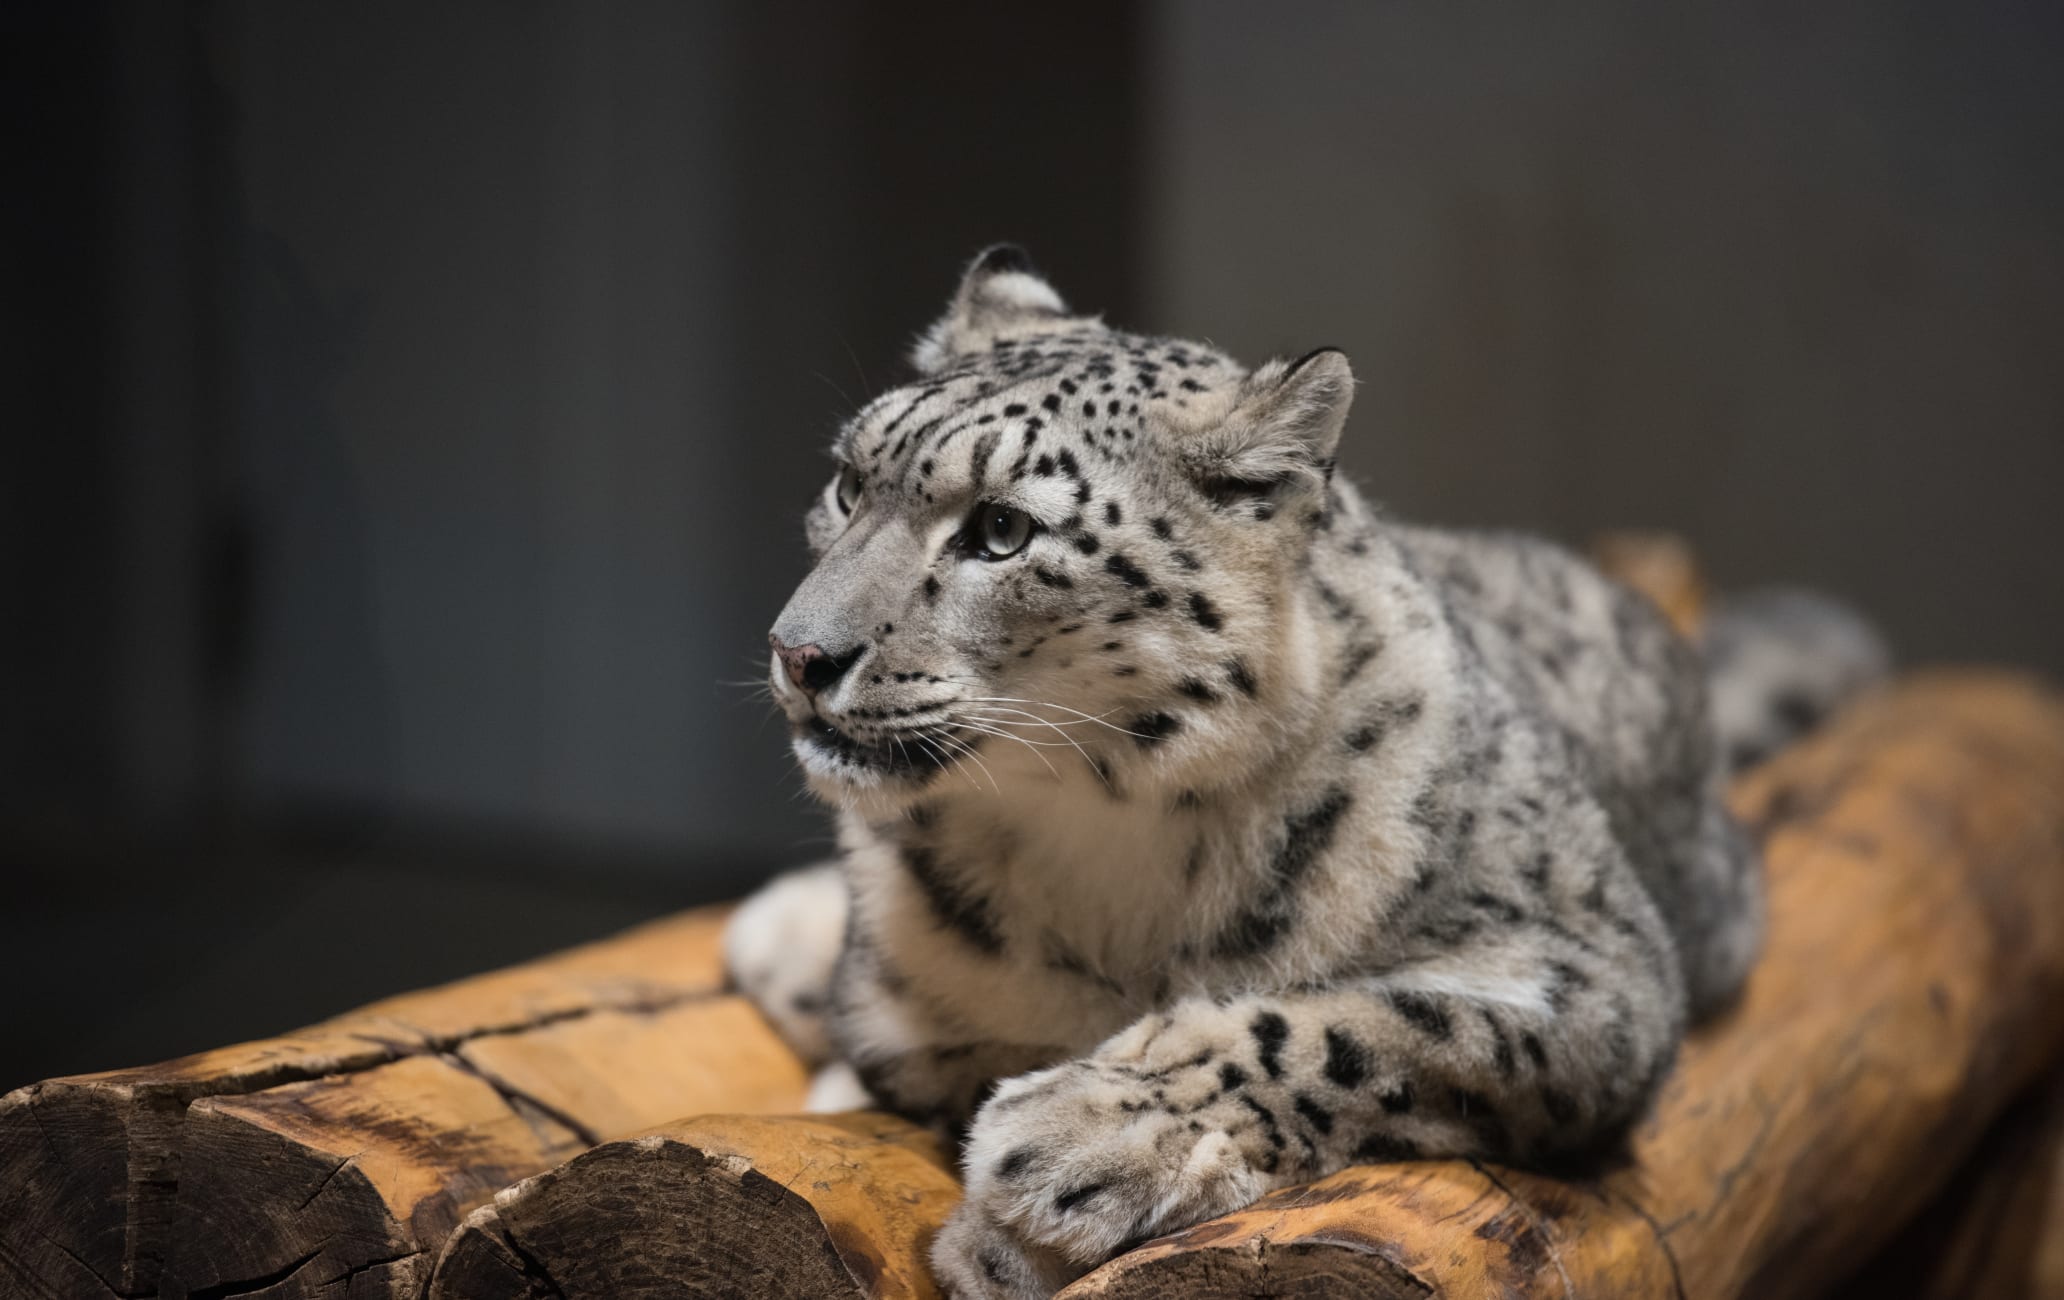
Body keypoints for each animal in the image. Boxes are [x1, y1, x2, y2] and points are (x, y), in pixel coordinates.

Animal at [722, 246, 1890, 1300]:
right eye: (847, 482)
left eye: (1003, 529)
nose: (798, 652)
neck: (1101, 860)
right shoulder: (907, 1022)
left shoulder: (1595, 967)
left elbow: (1370, 1028)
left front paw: (1081, 1143)